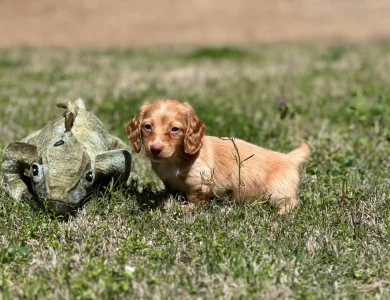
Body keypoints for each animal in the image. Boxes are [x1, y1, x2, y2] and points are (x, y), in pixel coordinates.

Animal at [126, 99, 310, 214]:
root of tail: (288, 158)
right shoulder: (169, 181)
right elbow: (173, 193)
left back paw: (280, 213)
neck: (174, 160)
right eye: (147, 127)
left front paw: (186, 209)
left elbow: (196, 199)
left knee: (292, 202)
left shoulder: (199, 180)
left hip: (277, 191)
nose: (155, 149)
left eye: (175, 129)